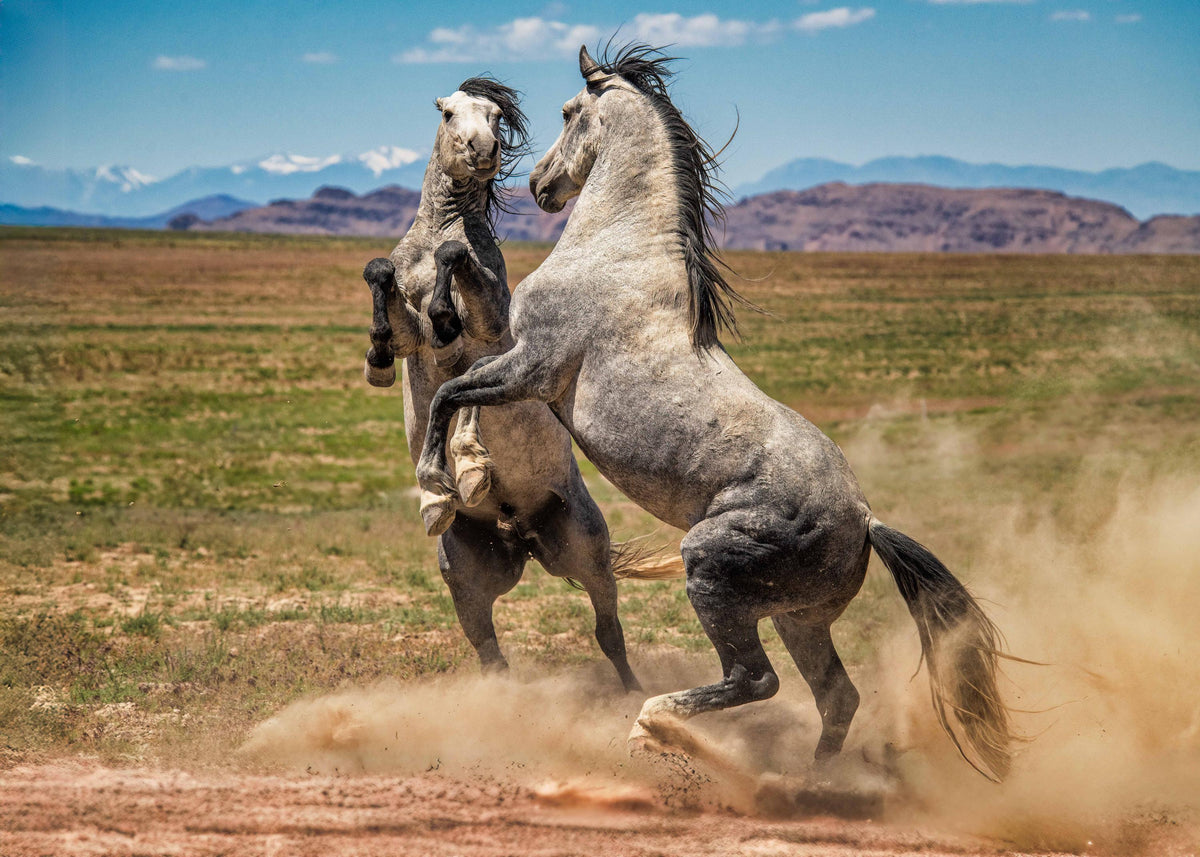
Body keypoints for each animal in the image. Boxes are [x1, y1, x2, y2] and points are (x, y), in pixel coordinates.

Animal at [362, 76, 657, 692]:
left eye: (496, 116)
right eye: (448, 114)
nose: (483, 150)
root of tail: (518, 531)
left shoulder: (494, 327)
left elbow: (457, 286)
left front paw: (471, 464)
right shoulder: (407, 330)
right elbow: (381, 275)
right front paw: (378, 359)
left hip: (586, 553)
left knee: (608, 631)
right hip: (467, 577)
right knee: (489, 651)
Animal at [413, 48, 1015, 781]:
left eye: (566, 112)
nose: (539, 183)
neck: (619, 250)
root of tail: (865, 521)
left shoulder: (532, 366)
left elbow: (451, 394)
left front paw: (440, 488)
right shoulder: (520, 363)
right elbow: (459, 377)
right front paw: (462, 465)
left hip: (711, 570)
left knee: (756, 679)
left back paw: (653, 724)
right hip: (798, 616)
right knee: (836, 695)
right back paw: (810, 781)